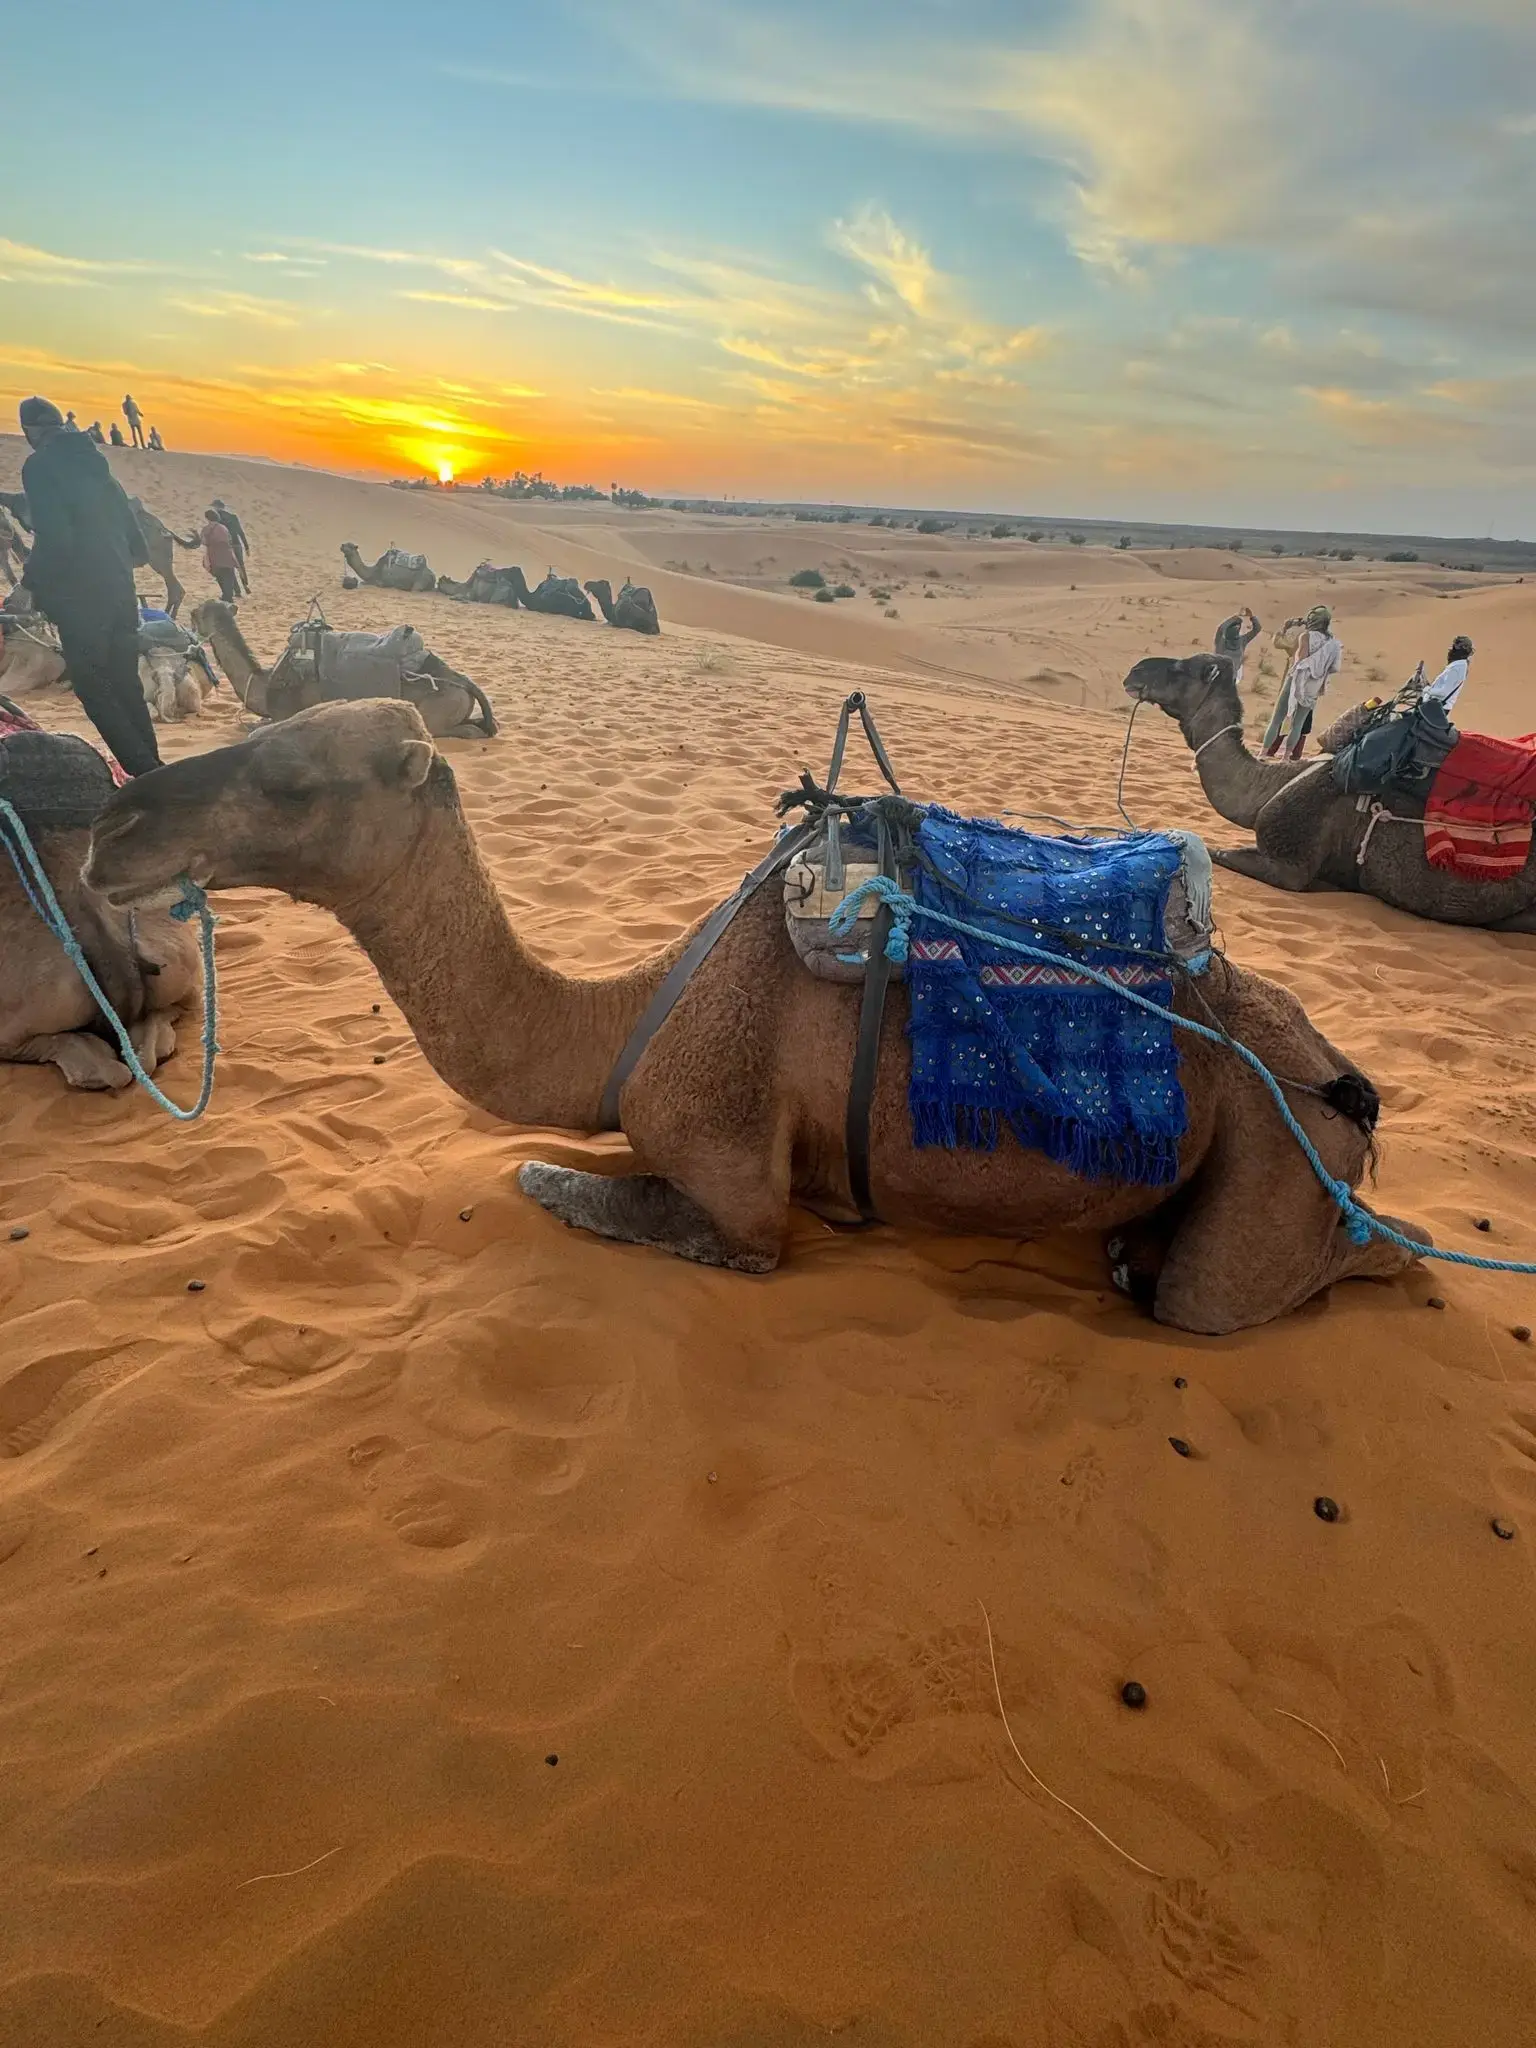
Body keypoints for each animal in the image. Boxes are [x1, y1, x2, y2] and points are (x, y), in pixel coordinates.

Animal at [83, 701, 1428, 1334]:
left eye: (292, 777)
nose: (110, 827)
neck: (625, 1016)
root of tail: (1342, 1080)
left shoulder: (736, 1189)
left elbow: (563, 1183)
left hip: (1277, 1165)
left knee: (1277, 1276)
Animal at [191, 600, 496, 740]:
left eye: (197, 614)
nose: (191, 626)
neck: (263, 681)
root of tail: (463, 681)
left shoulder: (287, 712)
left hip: (438, 713)